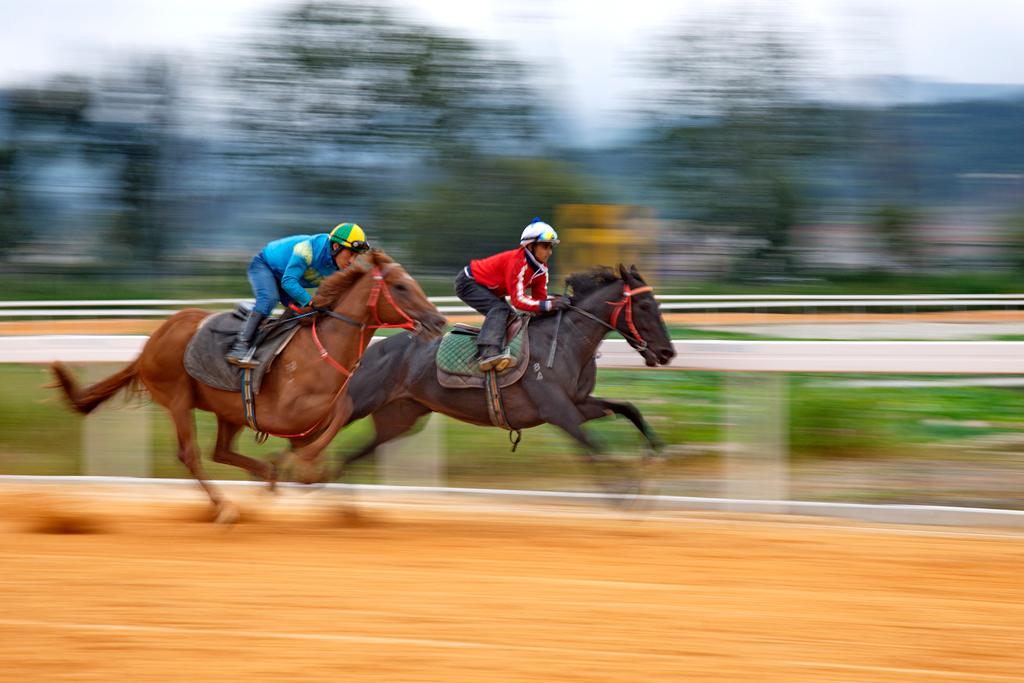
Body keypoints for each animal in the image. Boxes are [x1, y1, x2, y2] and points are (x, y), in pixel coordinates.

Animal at [50, 250, 444, 524]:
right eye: (400, 286)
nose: (439, 321)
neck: (322, 348)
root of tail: (152, 340)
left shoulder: (312, 413)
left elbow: (338, 414)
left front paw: (314, 482)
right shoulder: (284, 414)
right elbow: (324, 428)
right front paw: (301, 469)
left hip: (230, 410)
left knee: (220, 451)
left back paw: (265, 477)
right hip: (178, 398)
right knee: (191, 454)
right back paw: (226, 507)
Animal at [331, 266, 675, 475]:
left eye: (657, 304)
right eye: (644, 306)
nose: (667, 352)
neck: (564, 340)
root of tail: (368, 351)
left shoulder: (579, 403)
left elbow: (628, 408)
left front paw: (656, 450)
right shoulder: (558, 411)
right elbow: (596, 447)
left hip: (399, 416)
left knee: (351, 455)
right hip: (359, 403)